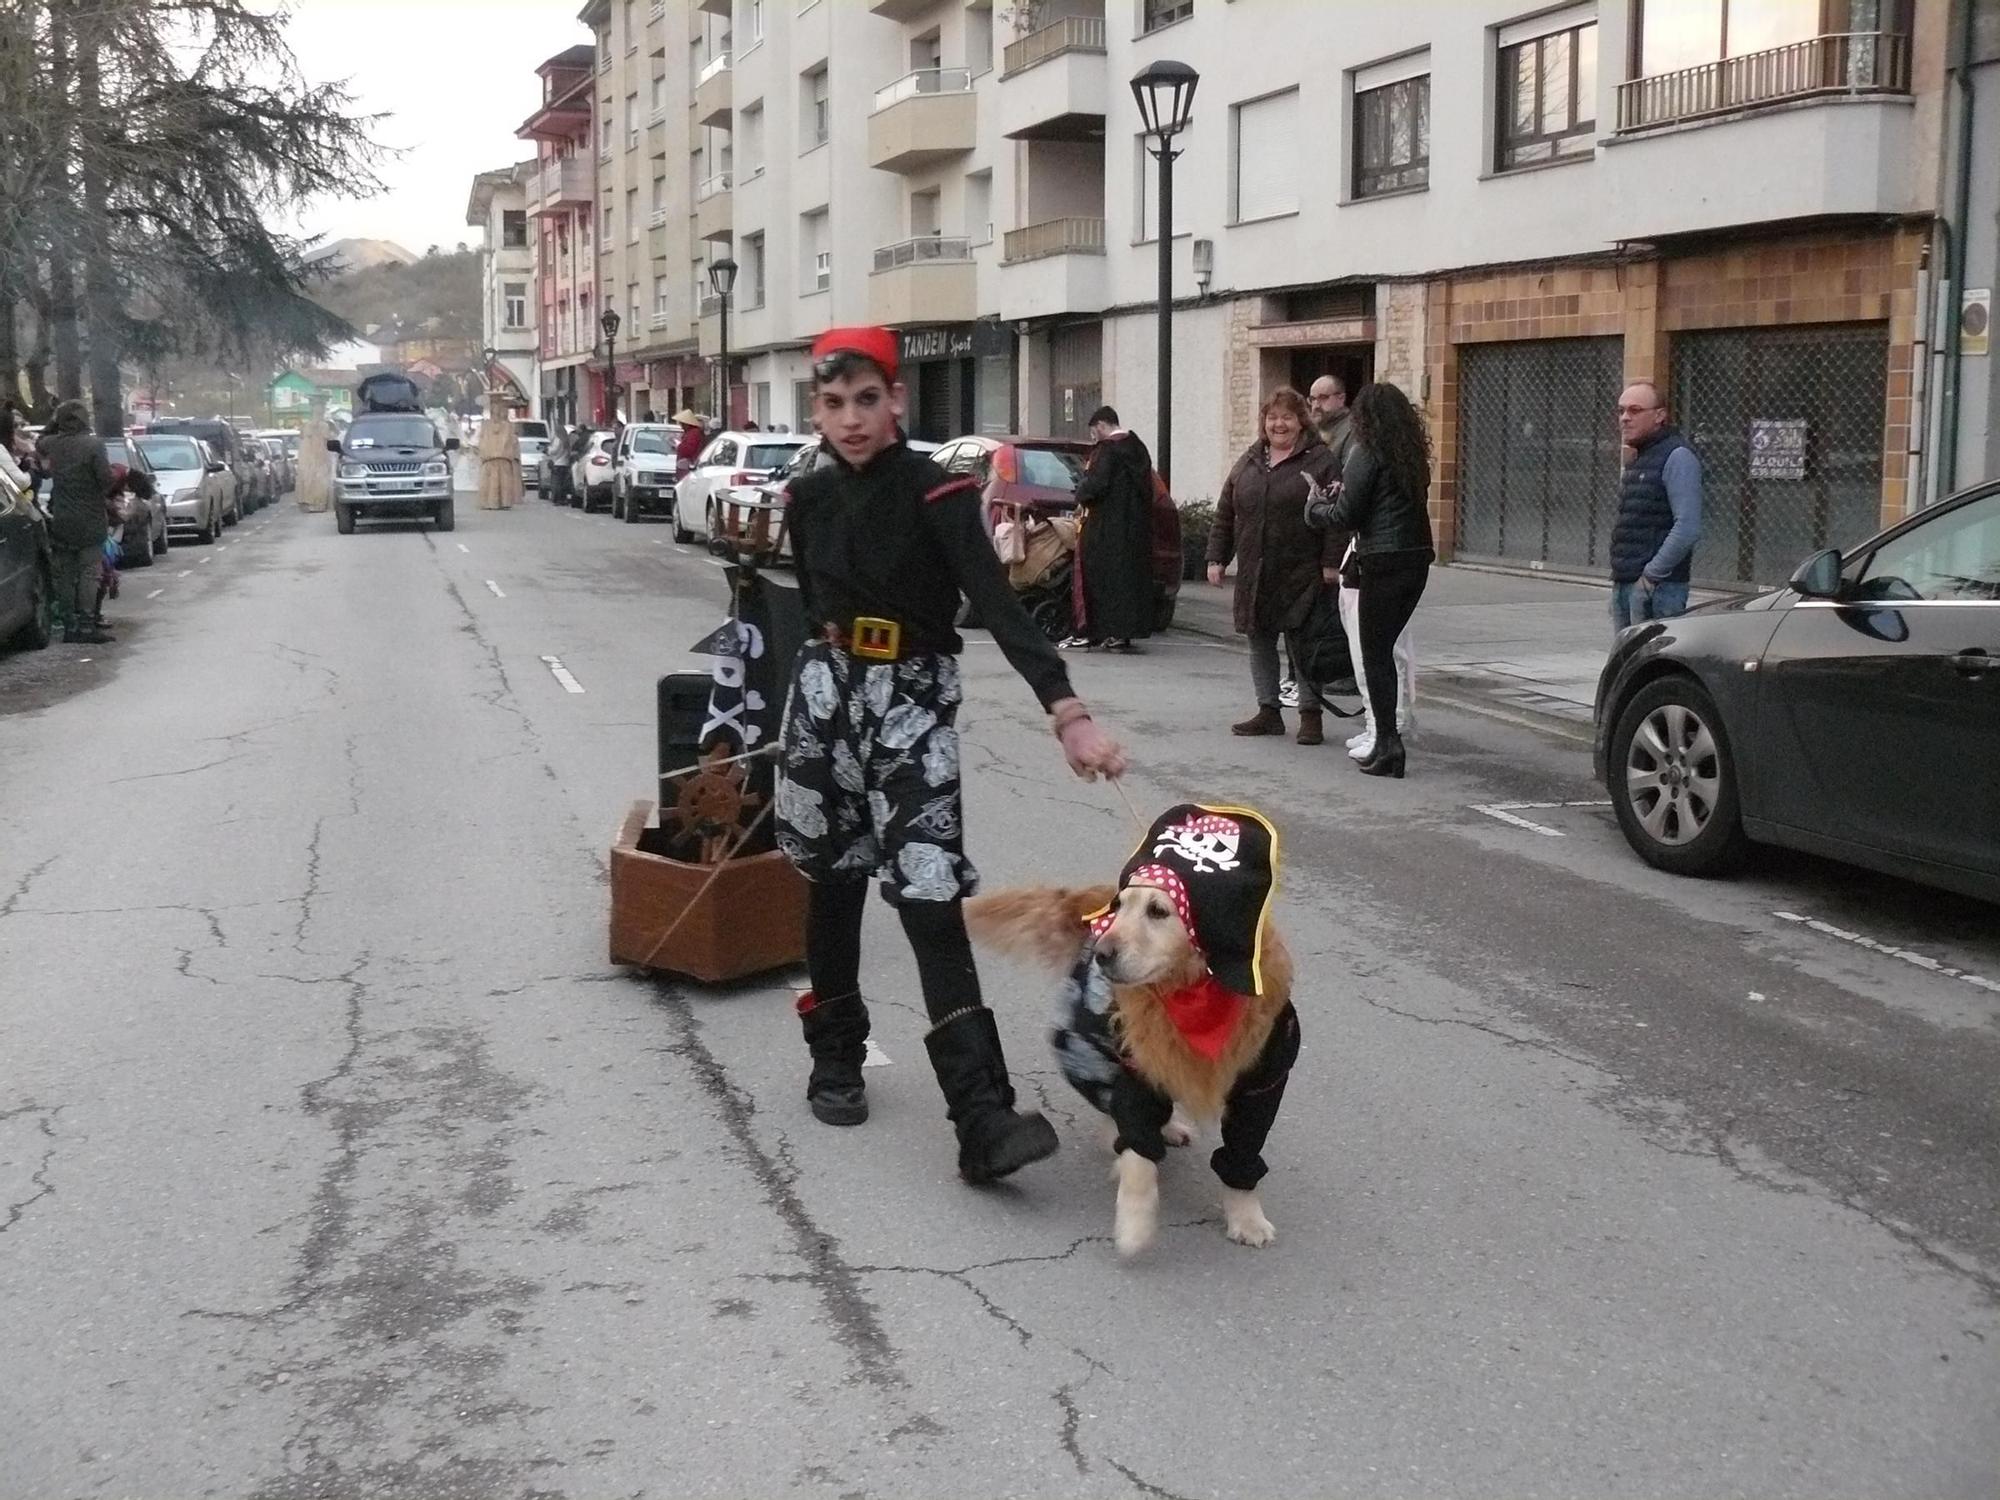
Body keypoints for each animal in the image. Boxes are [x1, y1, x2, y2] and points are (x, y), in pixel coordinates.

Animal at [964, 880, 1304, 1256]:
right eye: (1121, 906)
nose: (1103, 952)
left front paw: (1247, 1218)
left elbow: (1242, 1153)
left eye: (1158, 910)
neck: (1194, 994)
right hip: (1089, 1041)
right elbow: (1138, 1155)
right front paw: (1134, 1225)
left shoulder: (1264, 1084)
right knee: (1111, 1106)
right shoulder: (1137, 1068)